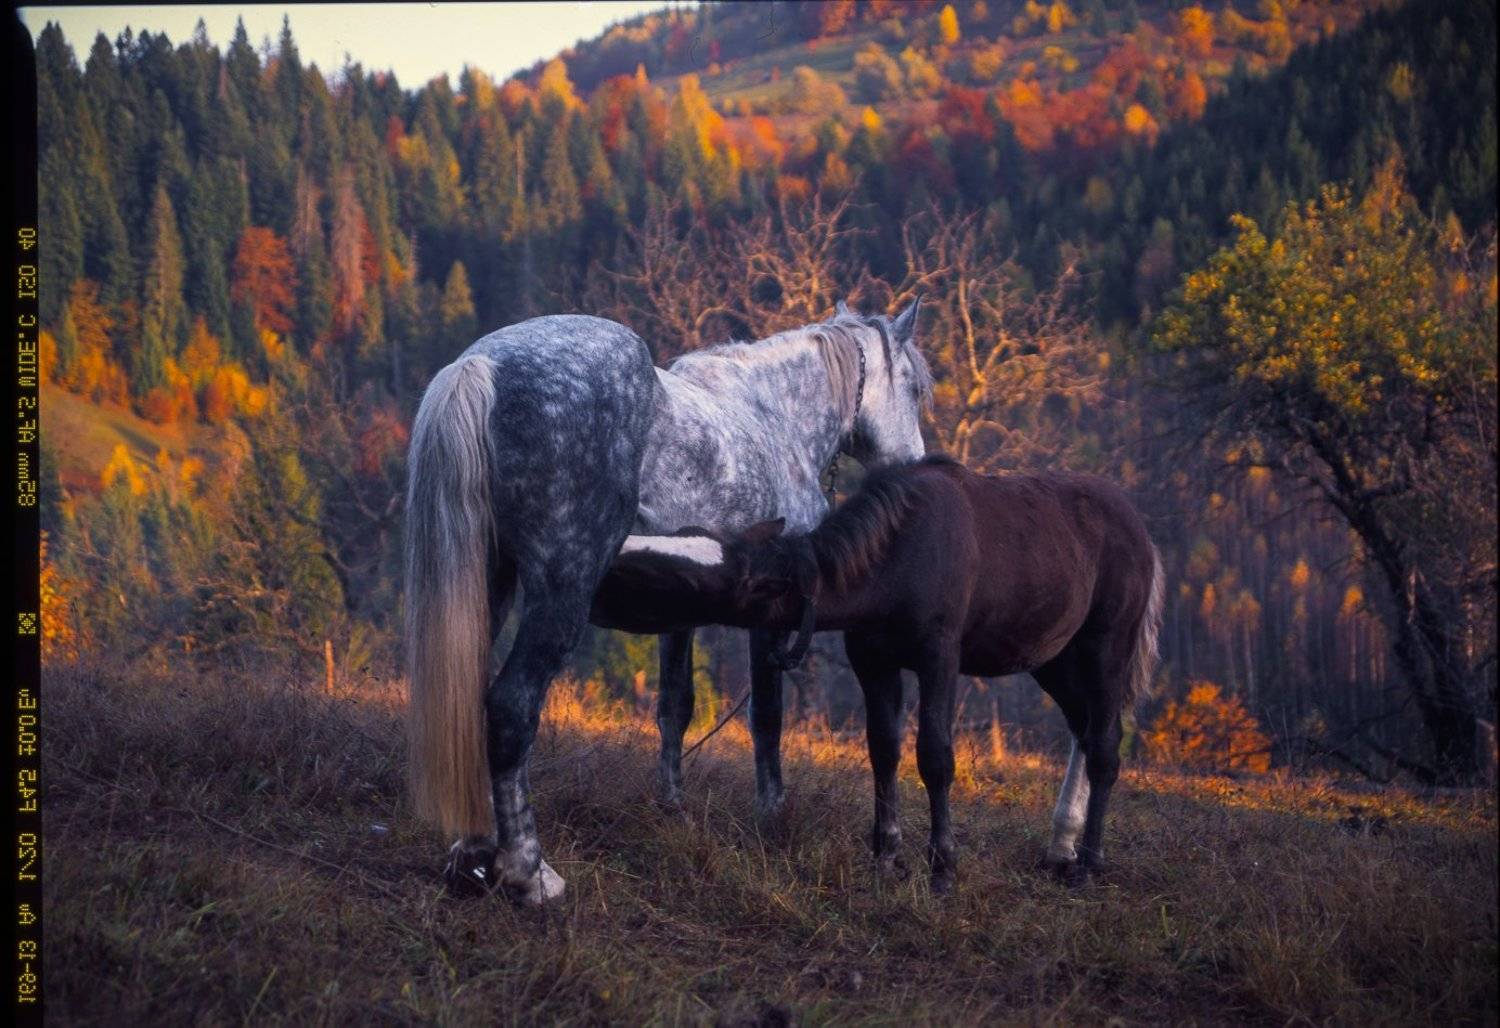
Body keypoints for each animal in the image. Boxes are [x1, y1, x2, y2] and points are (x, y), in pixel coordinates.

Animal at [405, 305, 931, 904]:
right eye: (915, 386)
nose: (915, 464)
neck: (774, 417)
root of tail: (481, 367)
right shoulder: (773, 619)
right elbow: (766, 717)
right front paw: (772, 814)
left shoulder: (680, 614)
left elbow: (674, 705)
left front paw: (672, 806)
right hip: (560, 593)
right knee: (512, 708)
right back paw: (529, 872)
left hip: (490, 586)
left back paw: (471, 856)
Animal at [591, 455, 1166, 891]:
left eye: (689, 584)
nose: (605, 569)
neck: (890, 567)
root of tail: (1144, 533)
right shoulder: (873, 660)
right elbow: (884, 750)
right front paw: (887, 855)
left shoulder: (939, 657)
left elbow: (934, 756)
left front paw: (943, 867)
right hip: (1053, 657)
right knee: (1084, 730)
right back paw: (1059, 847)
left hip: (1106, 645)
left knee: (1106, 743)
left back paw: (1088, 862)